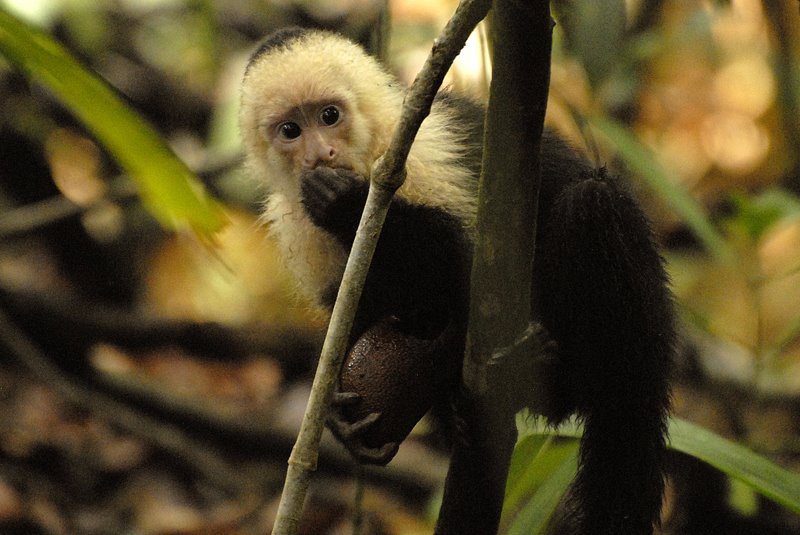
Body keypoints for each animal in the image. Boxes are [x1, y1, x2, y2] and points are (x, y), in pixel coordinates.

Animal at [239, 29, 676, 535]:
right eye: (291, 130)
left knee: (592, 202)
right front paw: (335, 416)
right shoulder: (296, 227)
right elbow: (361, 308)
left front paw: (345, 203)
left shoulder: (420, 156)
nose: (319, 155)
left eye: (330, 116)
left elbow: (469, 266)